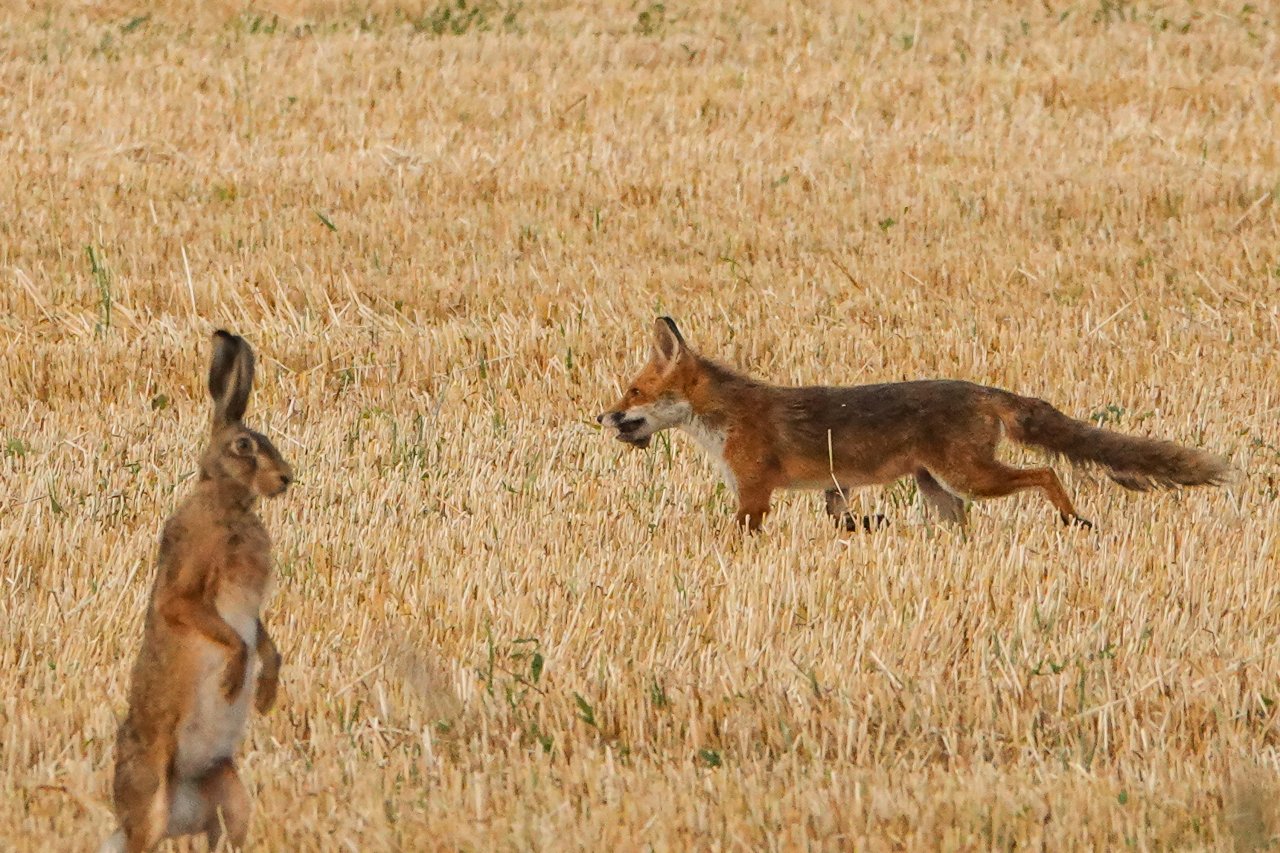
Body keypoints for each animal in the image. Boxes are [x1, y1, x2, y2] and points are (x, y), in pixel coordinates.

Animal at [599, 318, 1228, 532]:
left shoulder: (754, 493)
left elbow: (737, 535)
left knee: (1046, 473)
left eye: (633, 391)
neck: (725, 421)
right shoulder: (836, 488)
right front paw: (868, 530)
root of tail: (984, 390)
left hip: (969, 477)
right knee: (963, 524)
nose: (603, 416)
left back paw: (1074, 521)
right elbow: (845, 519)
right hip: (940, 489)